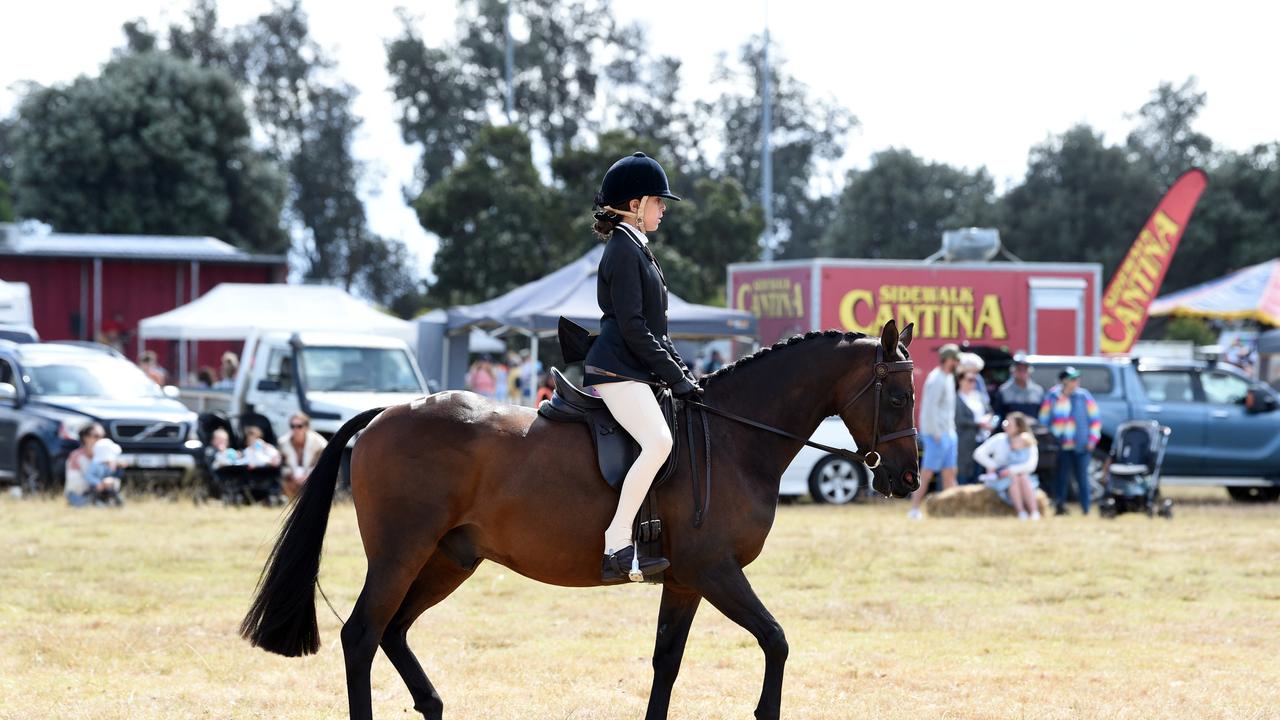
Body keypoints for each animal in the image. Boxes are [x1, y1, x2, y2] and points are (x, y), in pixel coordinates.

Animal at [240, 319, 921, 717]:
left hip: (448, 558)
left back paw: (433, 705)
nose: (907, 479)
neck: (732, 436)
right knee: (362, 635)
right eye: (897, 395)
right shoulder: (717, 570)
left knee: (394, 632)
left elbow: (666, 665)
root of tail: (387, 412)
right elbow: (775, 640)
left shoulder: (685, 580)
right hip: (400, 553)